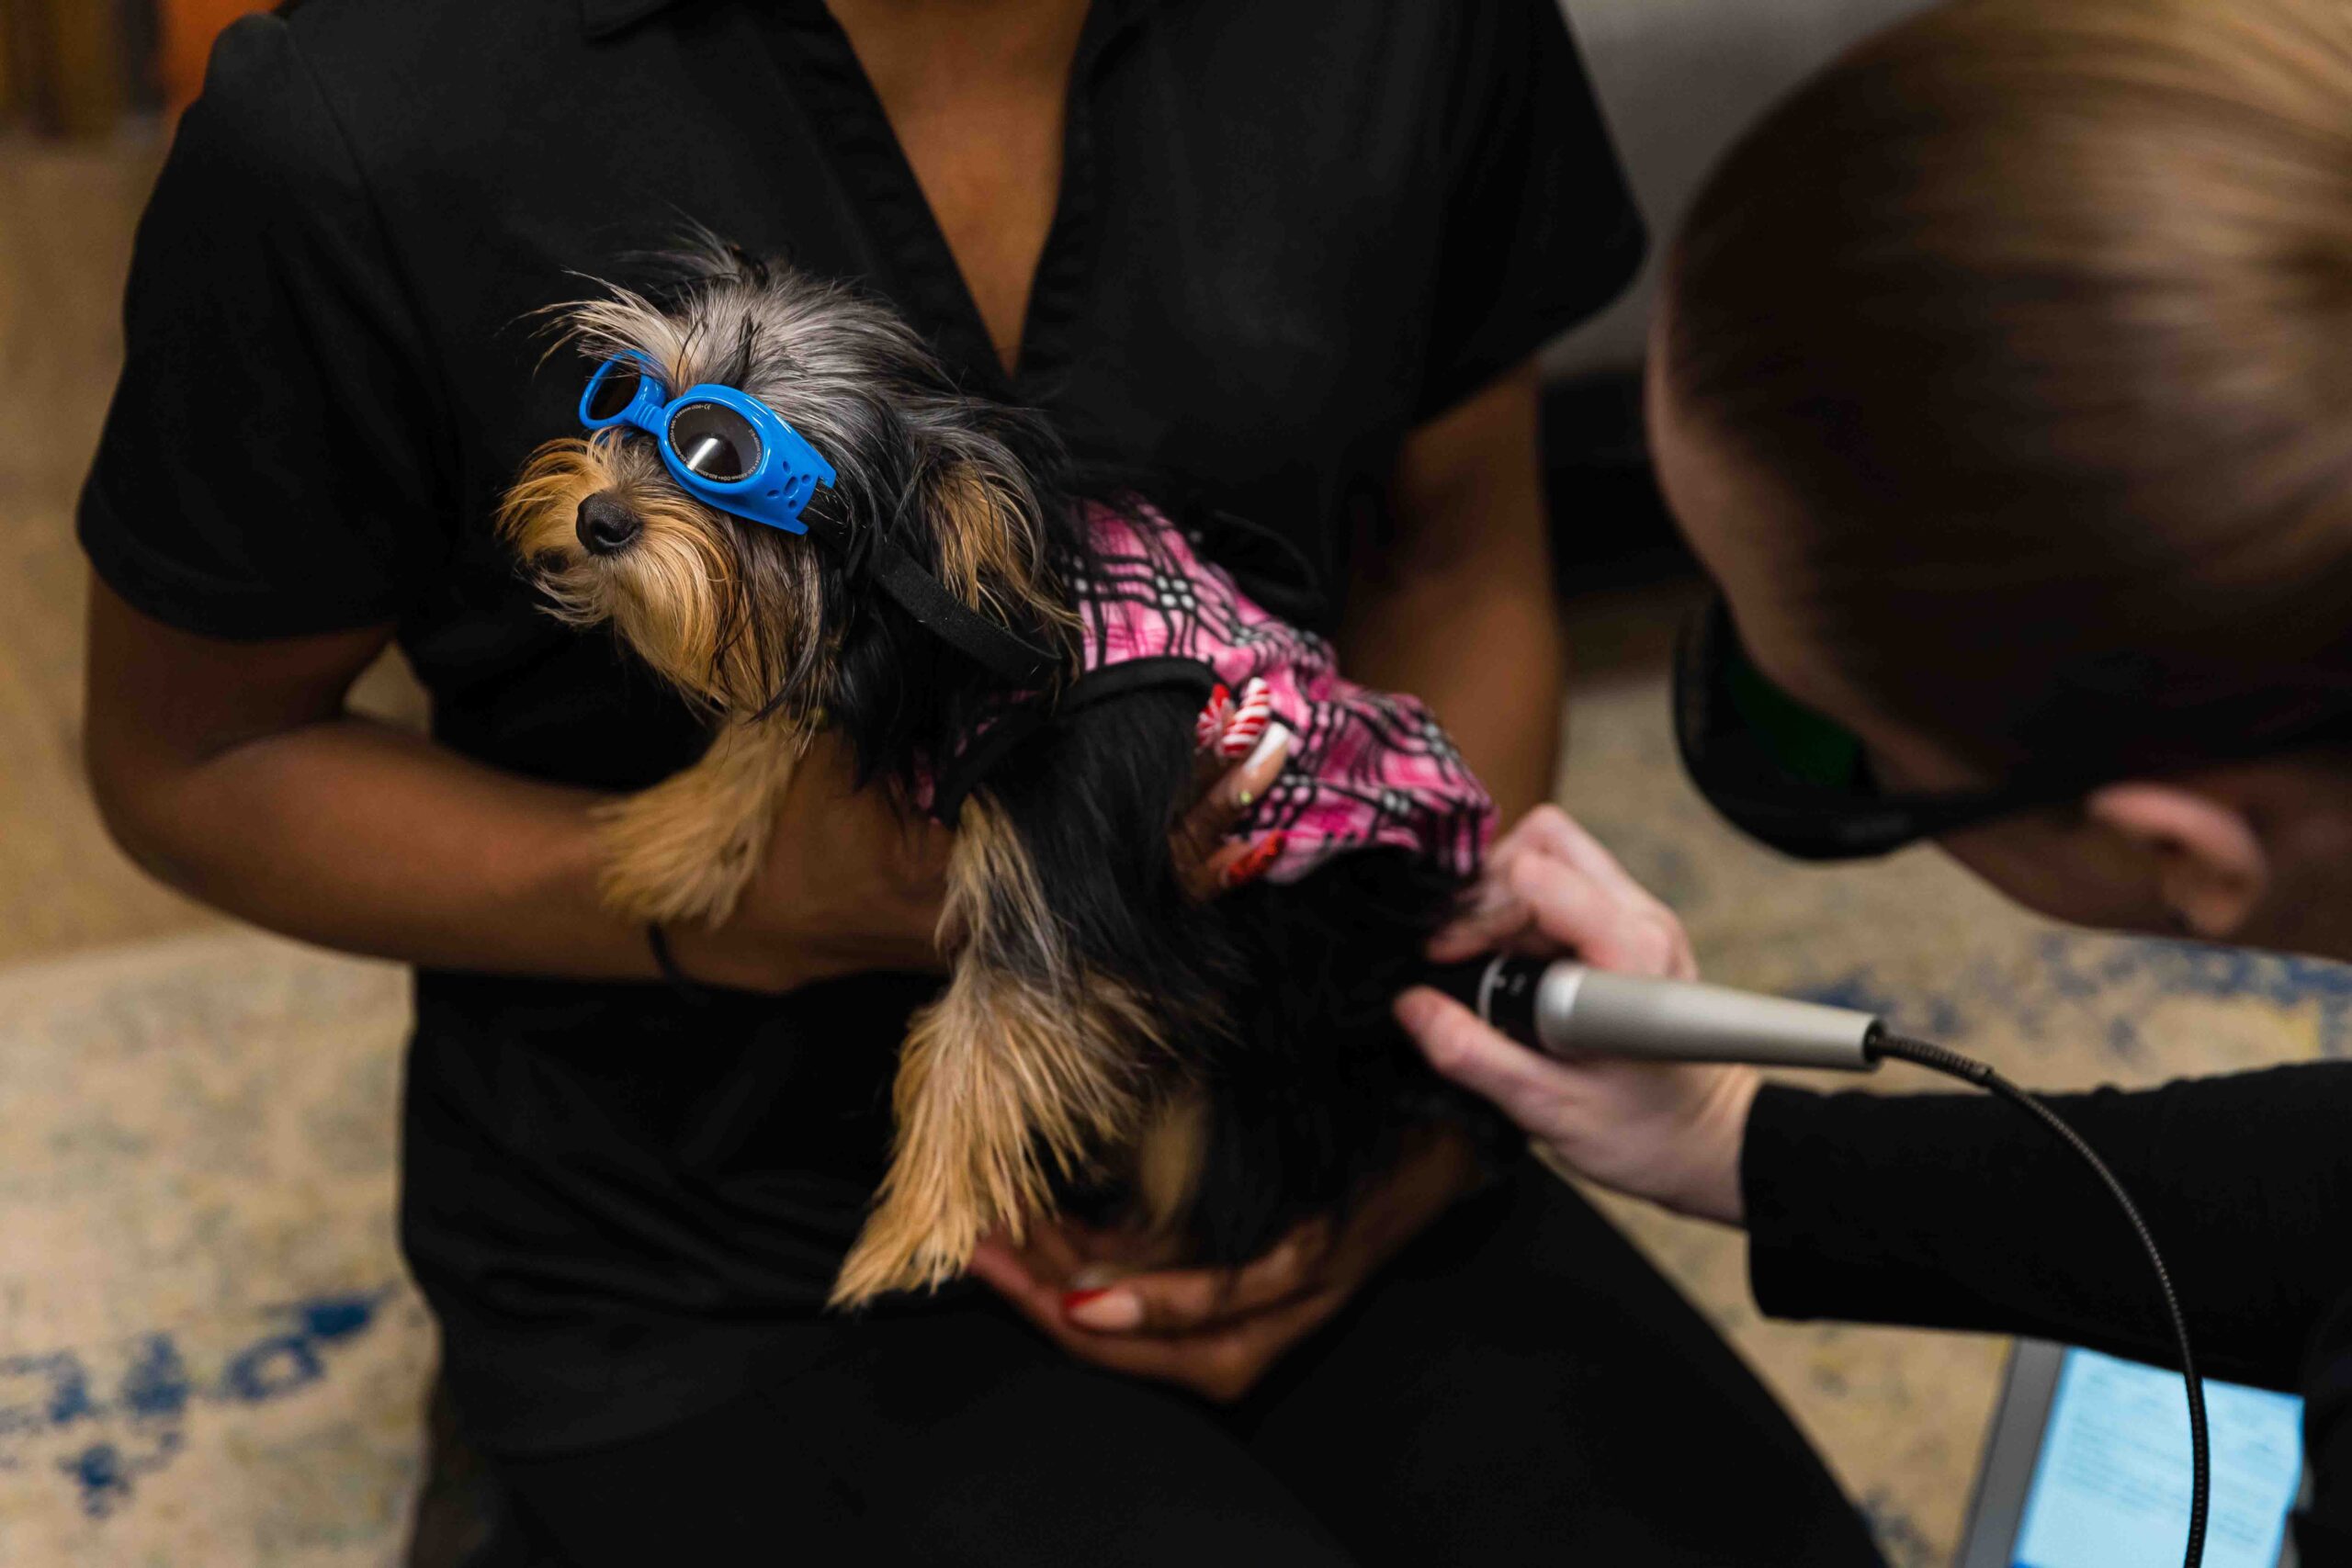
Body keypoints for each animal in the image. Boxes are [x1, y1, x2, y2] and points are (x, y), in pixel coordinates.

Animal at [503, 245, 1496, 1306]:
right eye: (627, 396)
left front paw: (907, 1232)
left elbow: (984, 1033)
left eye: (723, 458)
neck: (954, 627)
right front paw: (675, 838)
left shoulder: (1068, 865)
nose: (597, 517)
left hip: (1258, 1070)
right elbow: (779, 724)